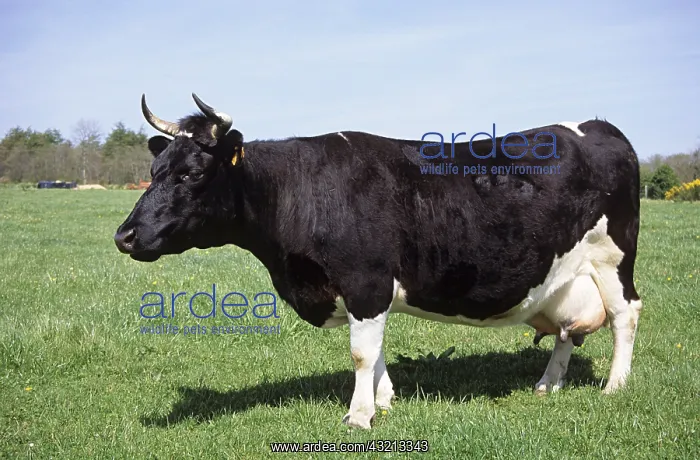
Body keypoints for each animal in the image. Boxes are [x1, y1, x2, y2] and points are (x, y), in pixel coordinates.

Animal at [115, 93, 643, 429]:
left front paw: (360, 415)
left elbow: (361, 352)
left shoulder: (365, 281)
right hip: (566, 277)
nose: (124, 235)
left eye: (191, 173)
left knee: (626, 313)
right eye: (154, 170)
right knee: (567, 331)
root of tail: (600, 126)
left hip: (613, 259)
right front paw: (384, 401)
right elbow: (376, 350)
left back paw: (615, 386)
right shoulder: (365, 291)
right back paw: (547, 384)